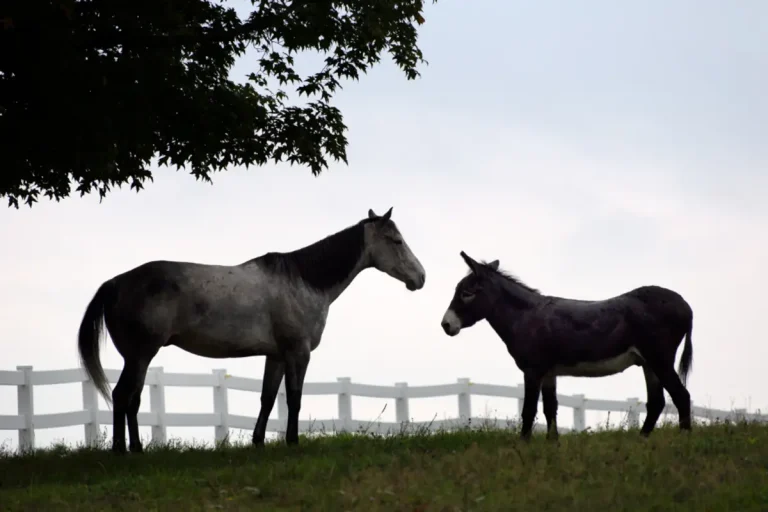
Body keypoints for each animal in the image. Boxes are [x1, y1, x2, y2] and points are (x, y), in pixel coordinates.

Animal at [77, 207, 426, 453]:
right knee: (124, 396)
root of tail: (114, 284)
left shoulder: (276, 355)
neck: (303, 280)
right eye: (396, 241)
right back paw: (125, 450)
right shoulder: (298, 353)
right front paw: (292, 442)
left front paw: (258, 441)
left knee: (131, 399)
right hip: (140, 356)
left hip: (138, 358)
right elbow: (294, 398)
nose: (420, 277)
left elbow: (268, 399)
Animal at [440, 251, 693, 441]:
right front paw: (552, 444)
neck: (525, 317)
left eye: (466, 293)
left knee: (681, 396)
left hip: (659, 358)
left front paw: (523, 445)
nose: (445, 325)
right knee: (657, 402)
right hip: (648, 363)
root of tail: (685, 304)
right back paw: (642, 440)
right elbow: (550, 407)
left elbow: (529, 410)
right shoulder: (549, 372)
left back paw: (684, 439)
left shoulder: (532, 370)